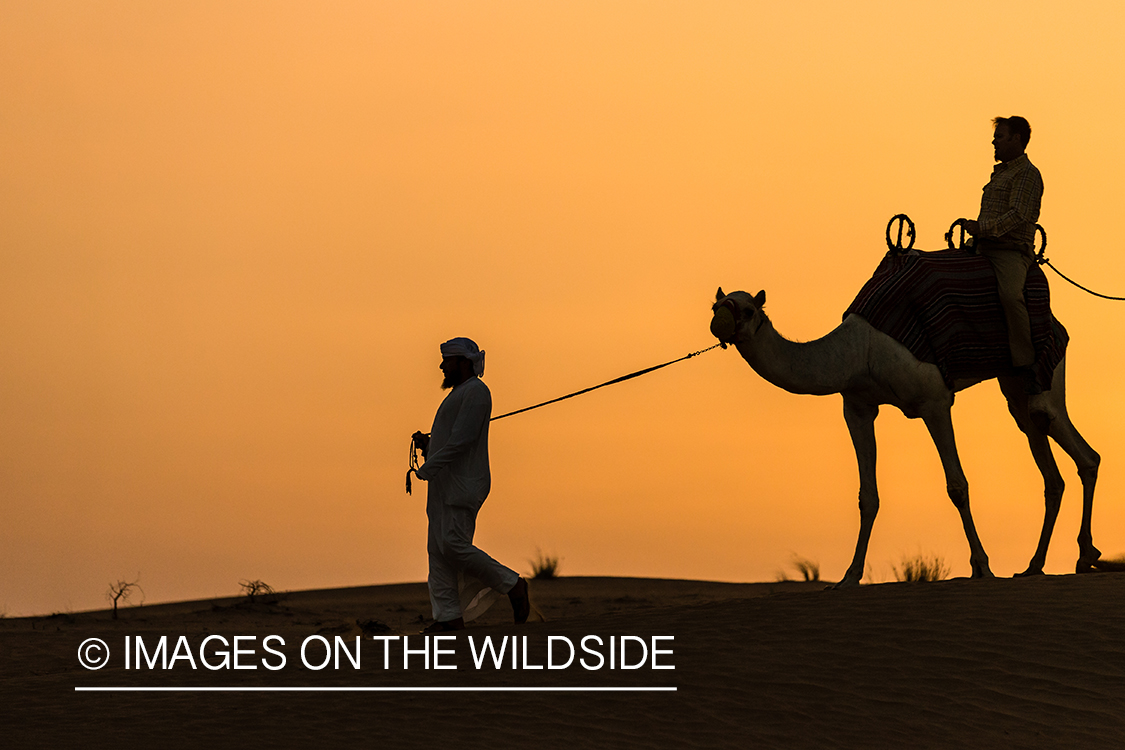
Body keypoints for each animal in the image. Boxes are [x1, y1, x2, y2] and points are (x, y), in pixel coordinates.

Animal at [710, 287, 1101, 587]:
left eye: (747, 309)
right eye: (716, 305)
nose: (719, 324)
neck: (858, 352)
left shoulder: (934, 400)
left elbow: (957, 485)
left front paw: (982, 567)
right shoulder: (858, 405)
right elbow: (868, 497)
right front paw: (848, 577)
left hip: (1045, 373)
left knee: (1077, 446)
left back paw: (1084, 557)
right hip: (1016, 386)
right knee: (1049, 463)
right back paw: (1035, 566)